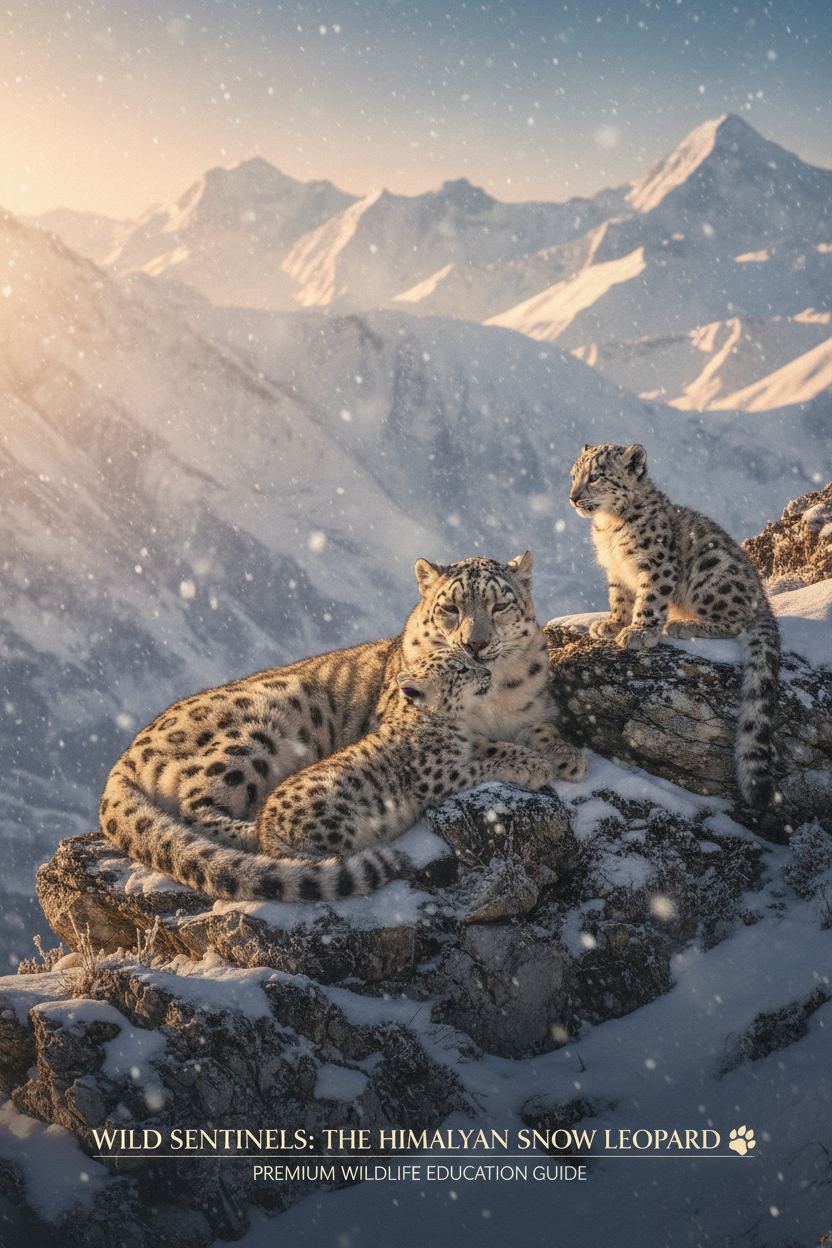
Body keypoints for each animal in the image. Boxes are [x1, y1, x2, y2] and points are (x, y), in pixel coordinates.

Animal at [100, 551, 587, 900]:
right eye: (449, 607)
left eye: (500, 605)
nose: (475, 645)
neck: (491, 700)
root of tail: (127, 753)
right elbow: (481, 751)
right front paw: (531, 764)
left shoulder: (533, 711)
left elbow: (544, 730)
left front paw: (568, 758)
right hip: (253, 732)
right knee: (196, 806)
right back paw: (254, 833)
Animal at [569, 443, 780, 807]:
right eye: (573, 475)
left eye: (594, 477)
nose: (572, 497)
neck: (608, 528)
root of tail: (763, 597)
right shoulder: (615, 570)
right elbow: (620, 599)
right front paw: (610, 625)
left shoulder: (657, 565)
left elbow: (651, 599)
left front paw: (640, 632)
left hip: (712, 570)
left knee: (736, 620)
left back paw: (685, 625)